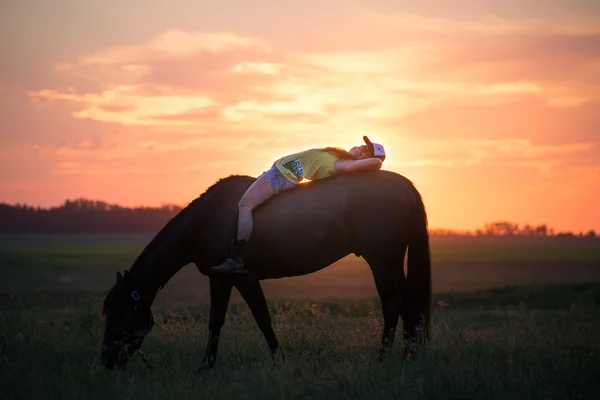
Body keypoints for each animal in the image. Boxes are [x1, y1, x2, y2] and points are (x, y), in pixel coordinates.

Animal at [102, 169, 432, 368]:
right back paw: (409, 356)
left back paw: (383, 358)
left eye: (121, 313)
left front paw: (277, 361)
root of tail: (405, 185)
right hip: (392, 261)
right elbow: (219, 321)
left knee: (393, 304)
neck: (208, 220)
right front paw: (207, 366)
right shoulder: (223, 280)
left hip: (382, 260)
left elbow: (258, 319)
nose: (107, 360)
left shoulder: (241, 278)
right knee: (409, 304)